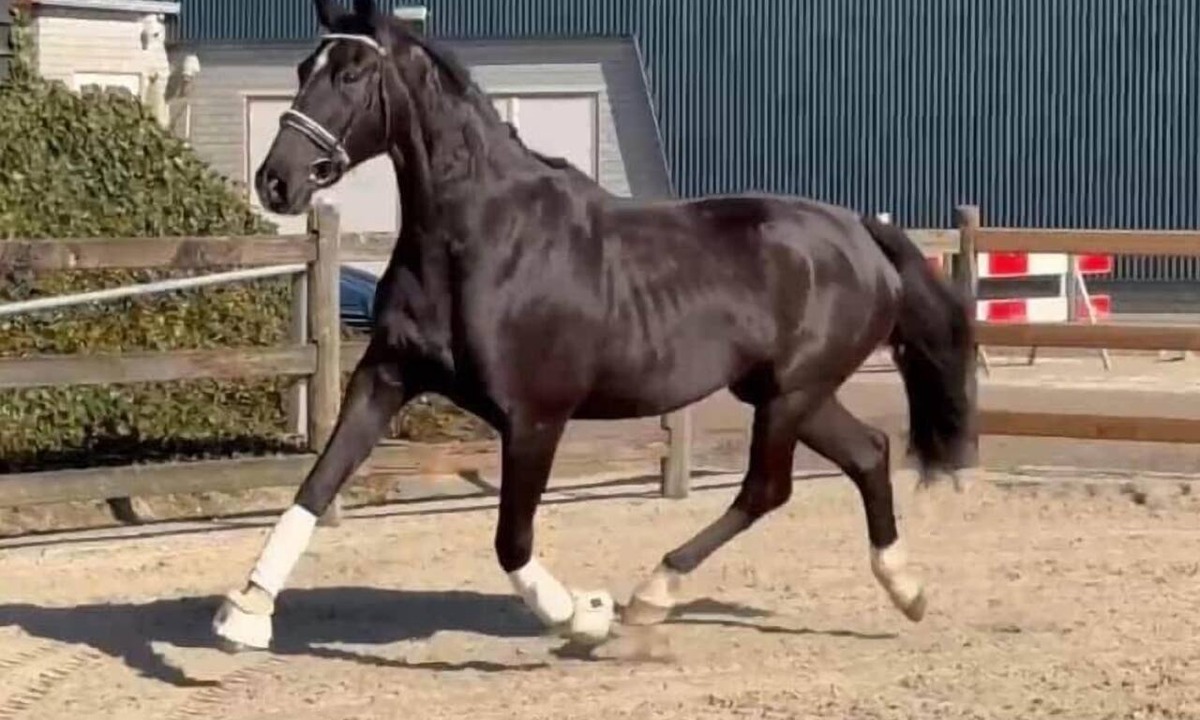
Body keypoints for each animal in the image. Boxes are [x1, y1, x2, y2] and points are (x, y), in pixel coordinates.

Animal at [212, 0, 975, 651]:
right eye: (303, 68)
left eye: (351, 72)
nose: (276, 181)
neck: (480, 236)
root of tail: (860, 232)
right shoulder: (386, 376)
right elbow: (318, 483)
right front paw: (245, 612)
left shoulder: (534, 417)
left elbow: (511, 540)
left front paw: (583, 615)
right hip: (785, 392)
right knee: (869, 451)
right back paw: (906, 589)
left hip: (792, 392)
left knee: (769, 487)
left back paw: (649, 596)